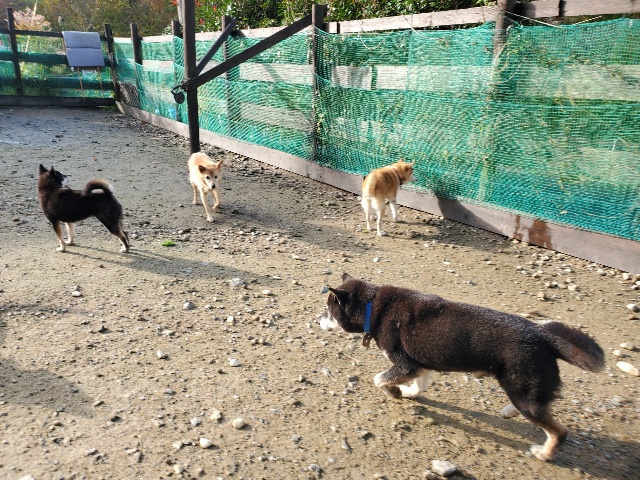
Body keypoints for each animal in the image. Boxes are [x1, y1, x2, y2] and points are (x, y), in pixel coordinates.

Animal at [320, 273, 605, 462]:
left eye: (328, 311)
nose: (317, 321)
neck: (372, 306)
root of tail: (542, 335)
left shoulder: (404, 363)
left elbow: (379, 379)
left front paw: (396, 392)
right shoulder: (419, 364)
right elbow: (420, 384)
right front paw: (410, 393)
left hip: (523, 388)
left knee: (558, 430)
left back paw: (544, 453)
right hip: (521, 388)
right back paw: (509, 412)